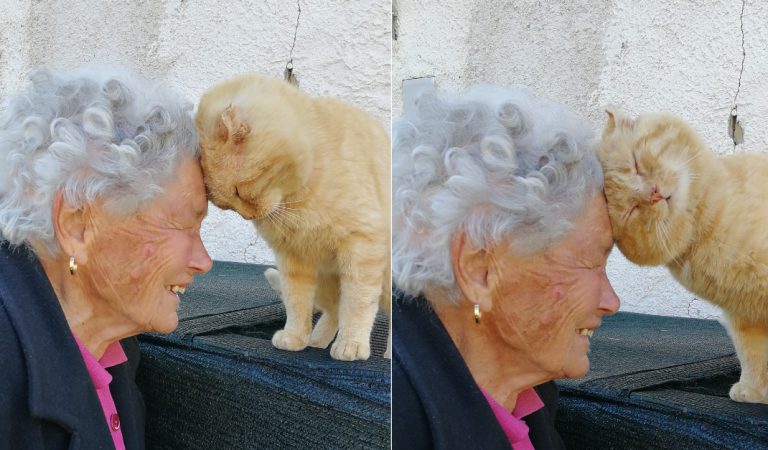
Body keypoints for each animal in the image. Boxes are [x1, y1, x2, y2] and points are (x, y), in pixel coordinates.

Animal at [196, 74, 390, 362]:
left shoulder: (362, 248)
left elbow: (358, 301)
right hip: (327, 281)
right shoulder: (294, 258)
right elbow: (296, 301)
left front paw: (352, 344)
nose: (247, 216)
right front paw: (296, 337)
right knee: (333, 311)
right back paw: (317, 341)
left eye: (239, 191)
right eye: (227, 206)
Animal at [596, 108, 768, 404]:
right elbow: (753, 355)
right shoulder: (745, 316)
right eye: (630, 210)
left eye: (636, 164)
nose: (653, 194)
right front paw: (754, 391)